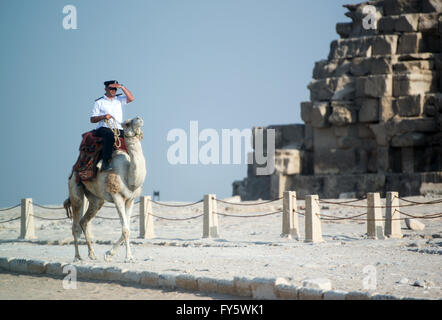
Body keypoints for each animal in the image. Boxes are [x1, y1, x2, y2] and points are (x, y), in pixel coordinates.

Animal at [64, 117, 147, 262]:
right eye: (126, 123)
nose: (139, 118)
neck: (129, 177)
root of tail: (73, 170)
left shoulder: (130, 199)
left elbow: (127, 228)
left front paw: (109, 254)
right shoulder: (117, 196)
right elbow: (125, 230)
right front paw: (128, 257)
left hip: (96, 199)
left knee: (84, 221)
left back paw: (92, 254)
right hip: (75, 188)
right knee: (75, 225)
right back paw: (77, 257)